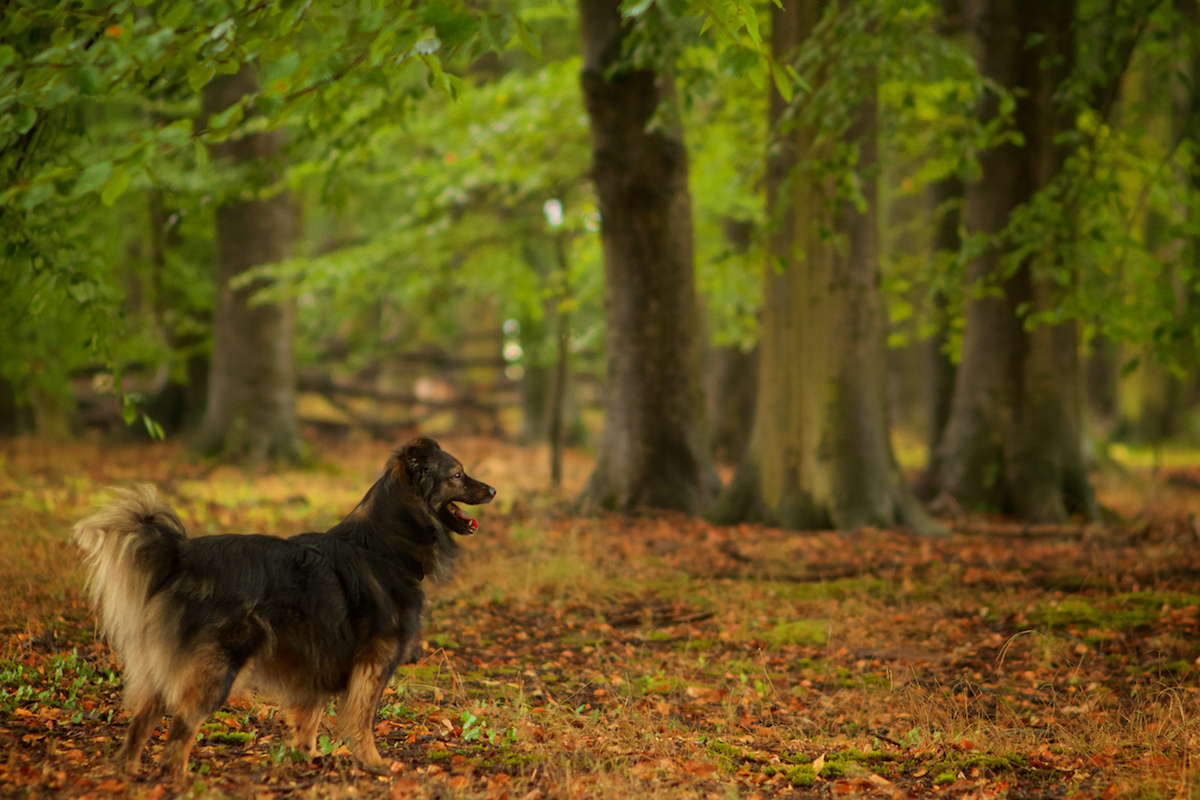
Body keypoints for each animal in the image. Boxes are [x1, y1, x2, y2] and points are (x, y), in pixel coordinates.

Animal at [72, 434, 494, 777]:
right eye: (458, 475)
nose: (492, 490)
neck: (385, 546)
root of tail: (182, 556)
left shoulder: (318, 656)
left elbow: (310, 716)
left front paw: (307, 757)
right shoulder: (374, 663)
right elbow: (362, 721)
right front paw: (373, 764)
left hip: (168, 665)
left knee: (142, 723)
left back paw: (128, 774)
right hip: (216, 667)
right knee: (180, 731)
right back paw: (177, 780)